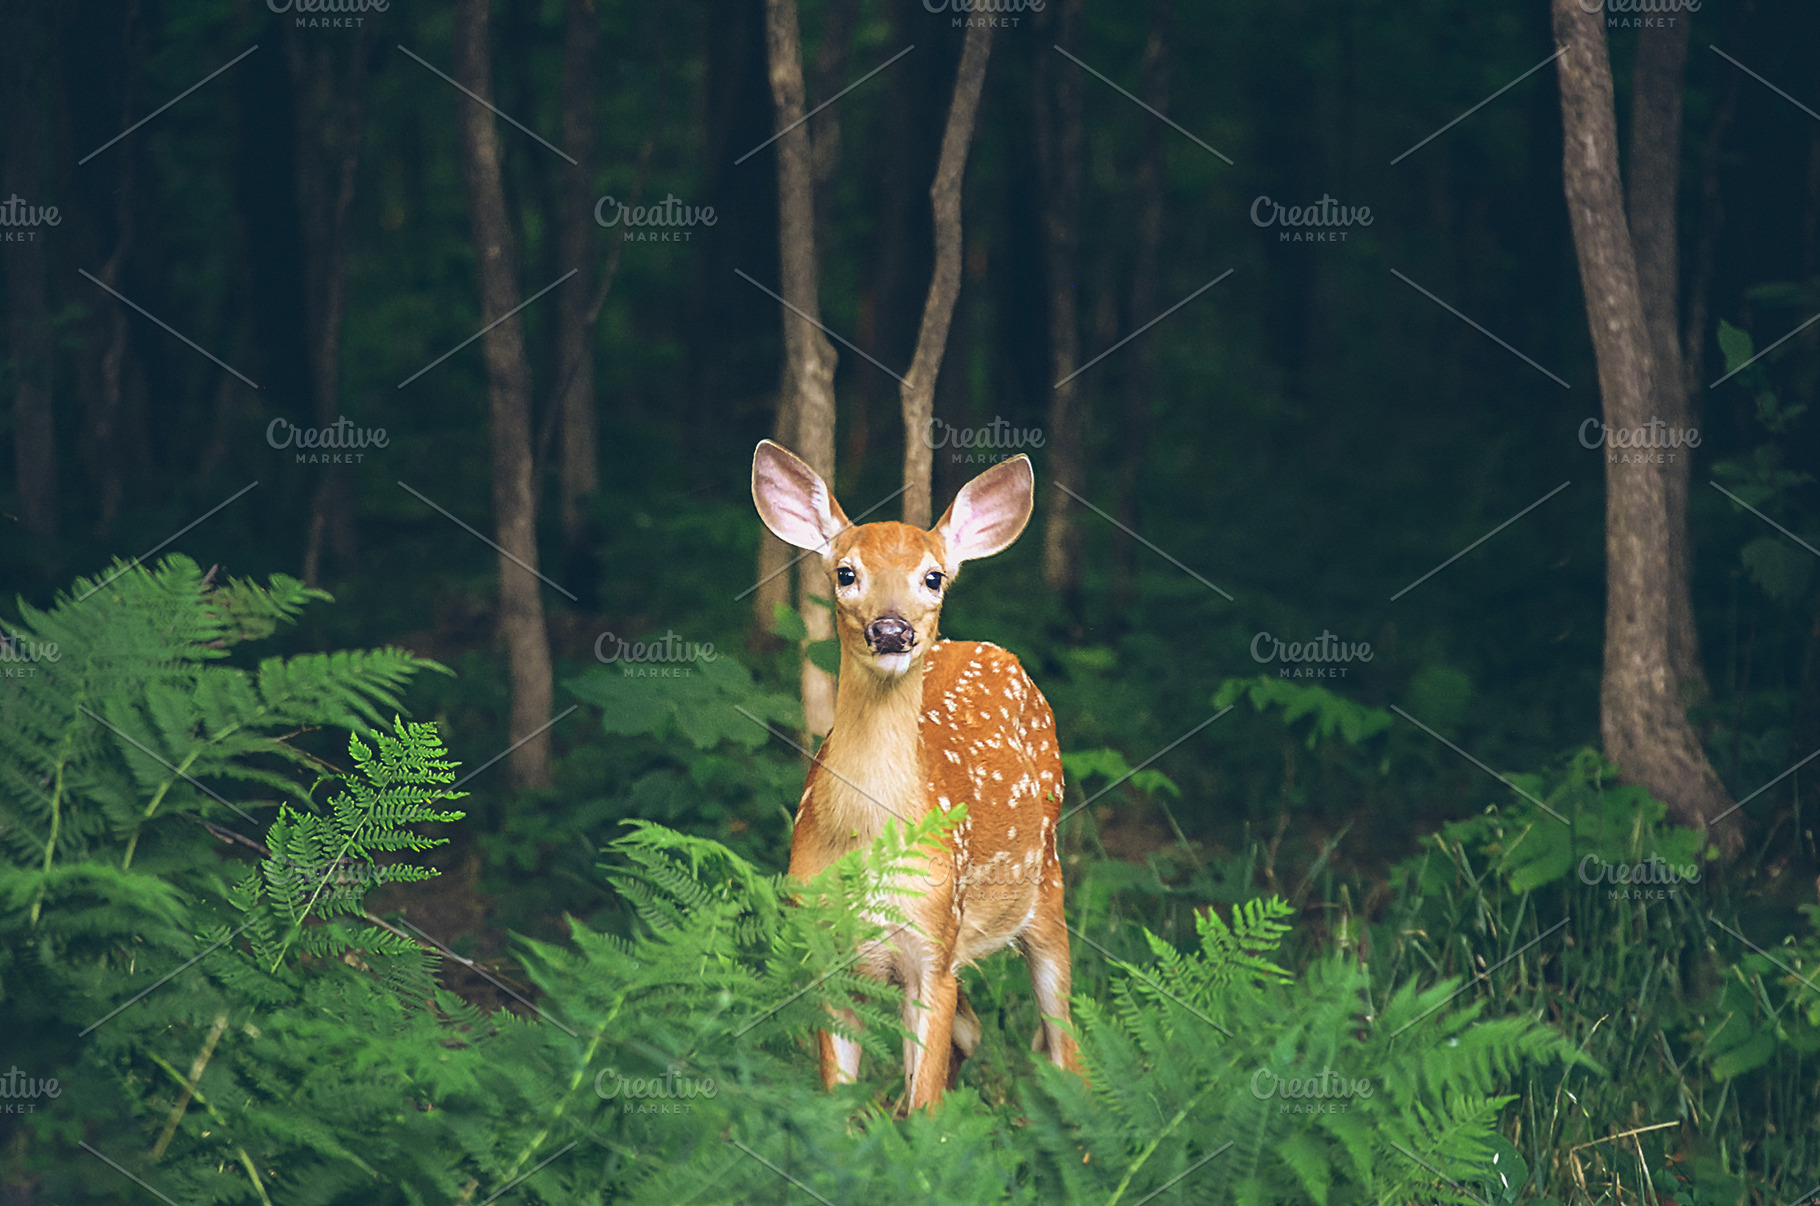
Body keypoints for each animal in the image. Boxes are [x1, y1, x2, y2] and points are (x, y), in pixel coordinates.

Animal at [751, 439, 1079, 1112]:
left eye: (933, 577)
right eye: (846, 573)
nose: (892, 629)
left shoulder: (932, 942)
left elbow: (923, 1111)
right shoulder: (829, 952)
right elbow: (838, 1100)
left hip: (1048, 884)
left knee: (1065, 1047)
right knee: (974, 1033)